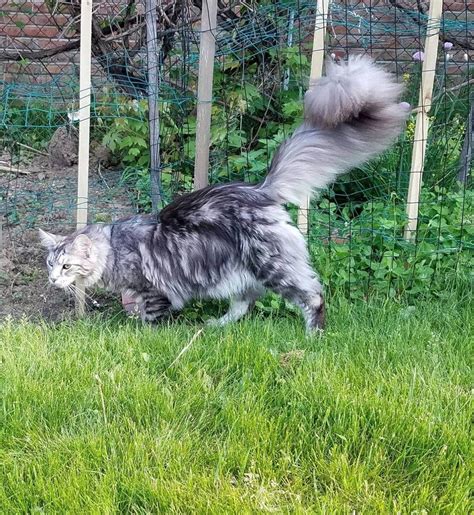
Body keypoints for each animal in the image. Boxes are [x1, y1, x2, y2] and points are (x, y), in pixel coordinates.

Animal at [39, 55, 412, 330]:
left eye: (67, 266)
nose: (53, 281)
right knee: (243, 304)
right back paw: (215, 326)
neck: (114, 247)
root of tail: (261, 189)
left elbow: (150, 317)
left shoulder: (154, 289)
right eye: (50, 265)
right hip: (239, 271)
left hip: (272, 266)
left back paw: (313, 335)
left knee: (313, 296)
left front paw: (143, 333)